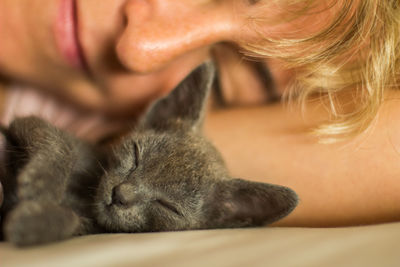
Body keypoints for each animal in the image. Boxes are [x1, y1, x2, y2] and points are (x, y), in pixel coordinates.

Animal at [0, 62, 298, 247]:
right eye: (135, 156)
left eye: (167, 206)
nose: (120, 194)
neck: (84, 193)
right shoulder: (27, 123)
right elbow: (59, 146)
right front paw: (41, 183)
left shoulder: (92, 226)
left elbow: (71, 221)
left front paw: (32, 223)